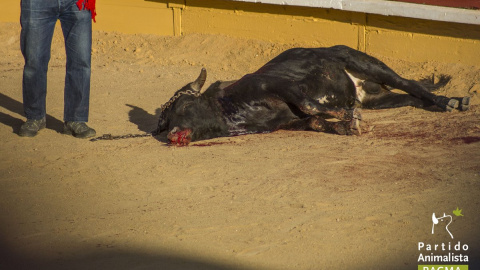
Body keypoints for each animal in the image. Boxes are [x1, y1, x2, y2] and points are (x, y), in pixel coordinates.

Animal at [90, 45, 468, 146]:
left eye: (183, 105)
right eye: (163, 122)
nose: (170, 135)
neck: (231, 111)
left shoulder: (285, 89)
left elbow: (310, 104)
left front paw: (350, 119)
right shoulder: (292, 122)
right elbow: (316, 122)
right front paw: (348, 125)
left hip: (363, 61)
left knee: (410, 82)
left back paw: (453, 101)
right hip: (377, 97)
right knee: (412, 97)